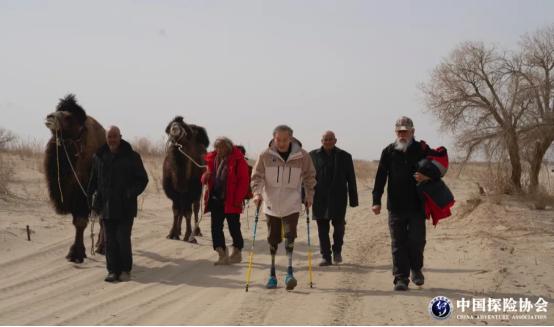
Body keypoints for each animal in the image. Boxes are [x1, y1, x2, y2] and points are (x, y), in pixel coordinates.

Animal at [43, 93, 106, 262]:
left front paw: (76, 254)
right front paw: (75, 253)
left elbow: (80, 222)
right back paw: (100, 246)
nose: (50, 117)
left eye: (69, 117)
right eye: (58, 110)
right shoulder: (73, 196)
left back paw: (102, 247)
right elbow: (77, 222)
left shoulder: (84, 195)